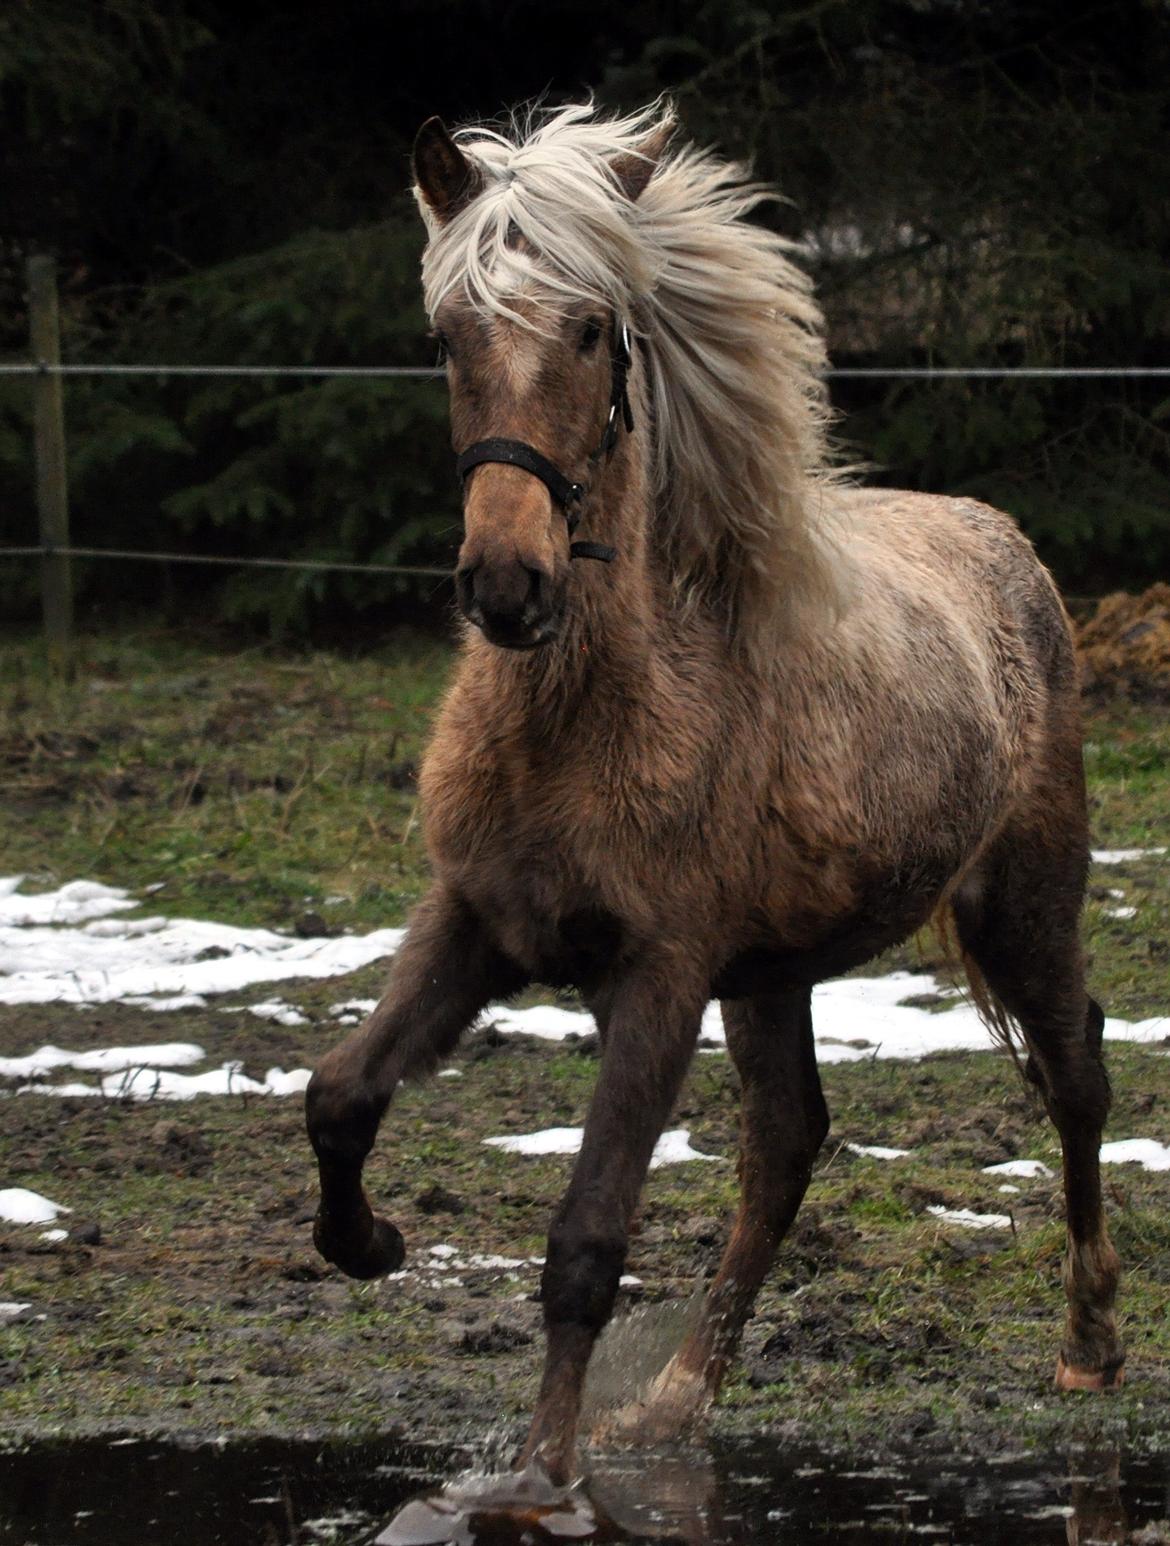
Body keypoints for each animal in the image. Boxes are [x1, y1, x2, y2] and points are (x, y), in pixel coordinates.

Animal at [302, 96, 1125, 1484]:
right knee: (787, 1143)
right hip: (775, 972)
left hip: (1023, 906)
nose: (509, 585)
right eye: (447, 335)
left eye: (591, 328)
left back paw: (1090, 1345)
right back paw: (677, 1398)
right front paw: (370, 1246)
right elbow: (339, 1095)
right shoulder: (474, 921)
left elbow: (585, 1241)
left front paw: (545, 1476)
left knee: (1076, 1076)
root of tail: (1002, 539)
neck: (583, 716)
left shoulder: (661, 974)